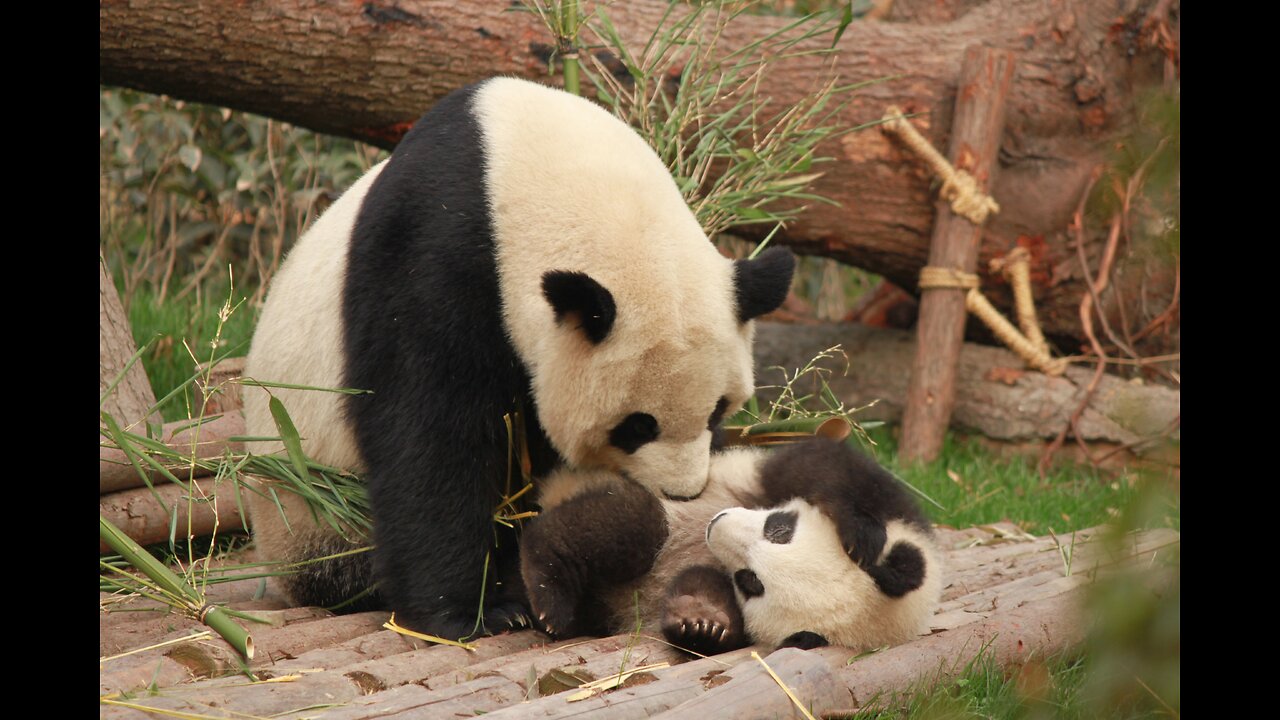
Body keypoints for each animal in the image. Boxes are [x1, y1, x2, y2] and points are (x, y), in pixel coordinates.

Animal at [241, 78, 788, 638]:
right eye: (636, 426)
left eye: (718, 411)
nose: (682, 493)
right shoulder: (431, 255)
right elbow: (428, 435)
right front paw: (467, 613)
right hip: (310, 506)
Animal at [519, 435, 942, 653]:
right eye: (779, 529)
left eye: (750, 581)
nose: (716, 526)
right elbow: (824, 464)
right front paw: (859, 532)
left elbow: (706, 591)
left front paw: (701, 622)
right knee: (631, 525)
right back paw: (548, 593)